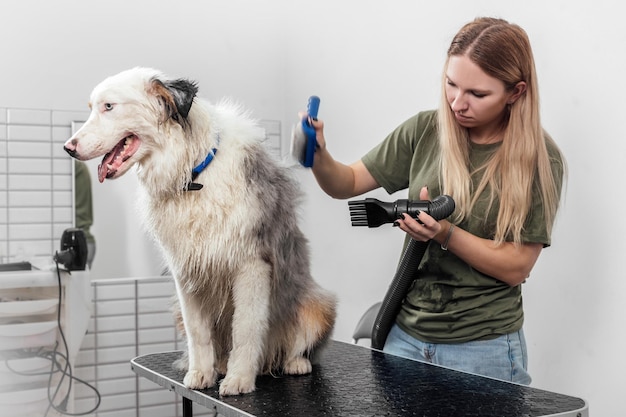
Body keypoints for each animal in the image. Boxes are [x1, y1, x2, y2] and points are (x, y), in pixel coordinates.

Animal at [63, 66, 336, 394]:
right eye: (92, 108)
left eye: (109, 107)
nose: (68, 148)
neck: (194, 176)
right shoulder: (186, 270)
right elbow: (198, 333)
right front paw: (201, 374)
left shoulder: (252, 264)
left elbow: (245, 328)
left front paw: (239, 380)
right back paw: (222, 365)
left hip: (317, 303)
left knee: (295, 345)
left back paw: (294, 363)